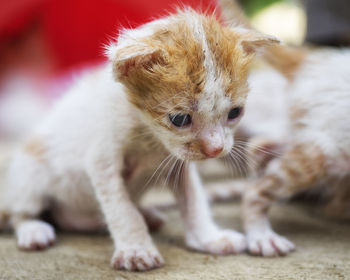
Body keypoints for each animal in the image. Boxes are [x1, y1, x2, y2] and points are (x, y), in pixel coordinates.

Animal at [0, 8, 278, 272]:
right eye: (179, 119)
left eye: (235, 112)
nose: (215, 149)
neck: (149, 137)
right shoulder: (102, 160)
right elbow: (122, 209)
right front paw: (136, 251)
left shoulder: (178, 165)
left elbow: (194, 201)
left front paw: (209, 239)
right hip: (29, 177)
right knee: (21, 213)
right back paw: (33, 231)